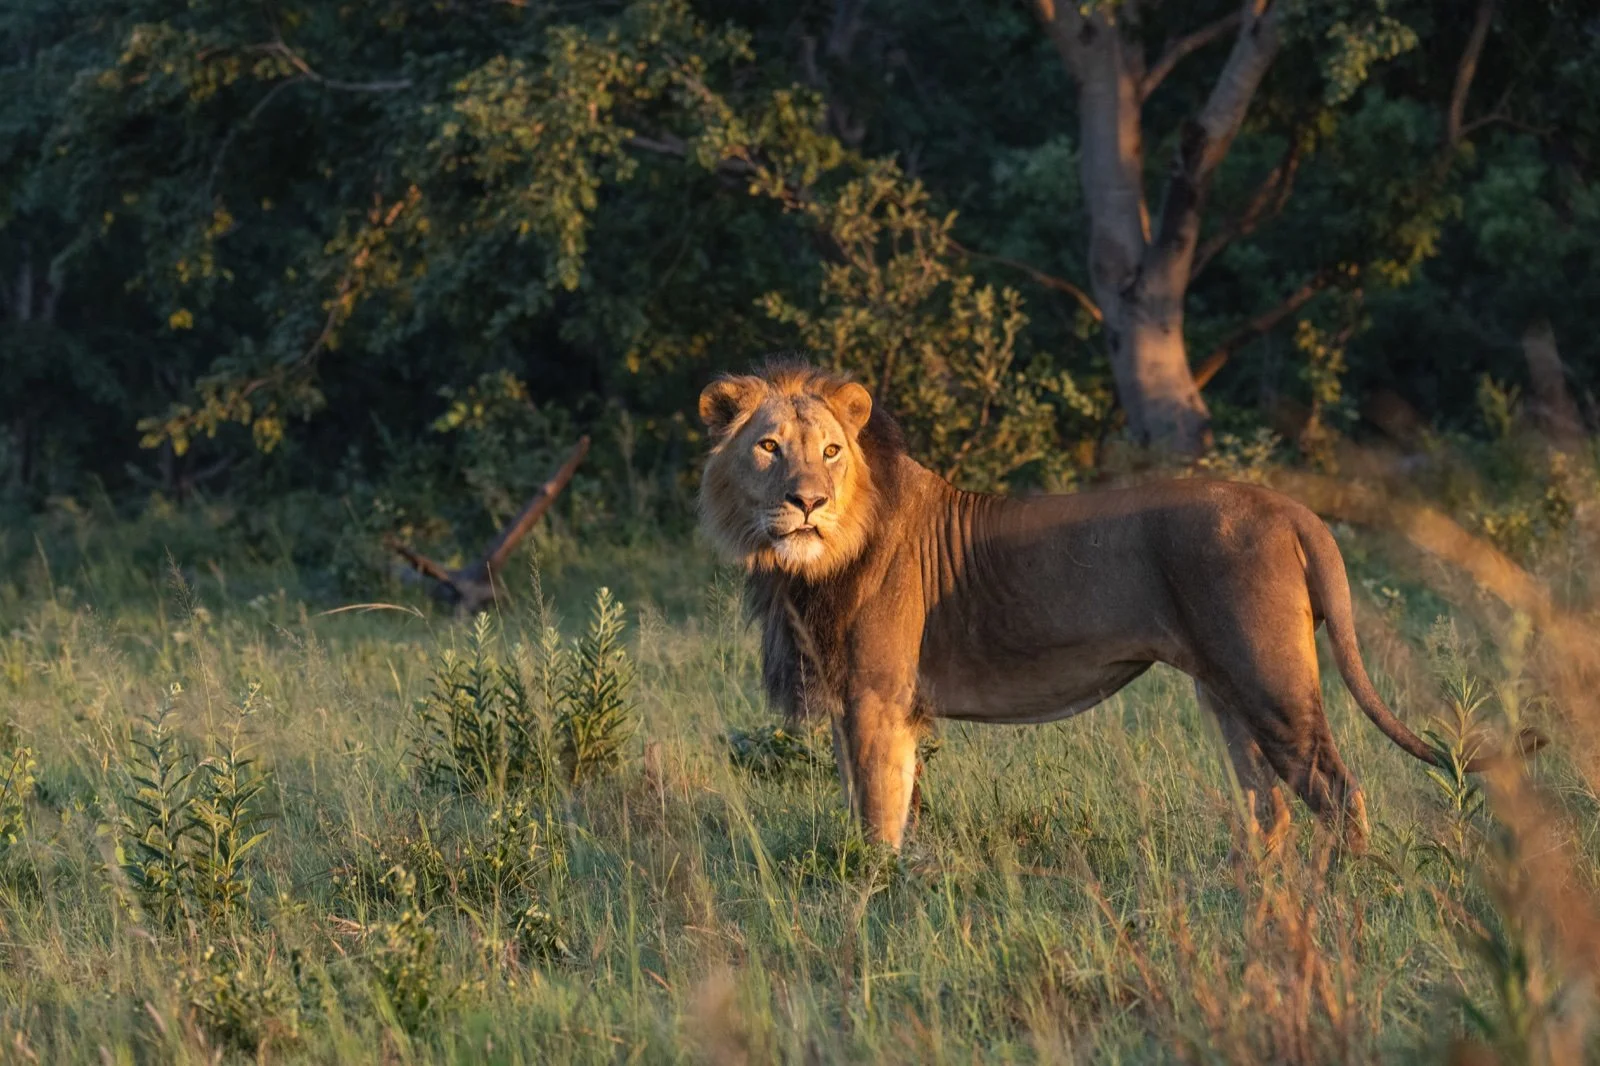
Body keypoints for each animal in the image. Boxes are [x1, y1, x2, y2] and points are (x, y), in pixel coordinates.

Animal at [697, 361, 1539, 854]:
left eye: (831, 451)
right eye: (769, 447)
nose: (807, 502)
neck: (808, 564)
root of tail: (1288, 507)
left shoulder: (878, 699)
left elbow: (878, 818)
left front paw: (874, 899)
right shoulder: (857, 703)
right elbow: (875, 804)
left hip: (1271, 680)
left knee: (1335, 789)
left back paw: (1344, 894)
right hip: (1224, 690)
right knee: (1268, 805)